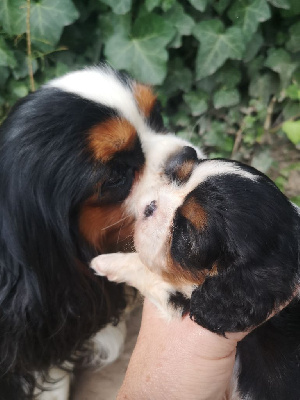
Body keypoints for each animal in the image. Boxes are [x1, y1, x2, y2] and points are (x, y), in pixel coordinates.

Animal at [91, 151, 300, 400]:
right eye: (178, 177)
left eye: (185, 234)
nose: (150, 206)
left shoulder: (184, 299)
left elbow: (147, 270)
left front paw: (103, 262)